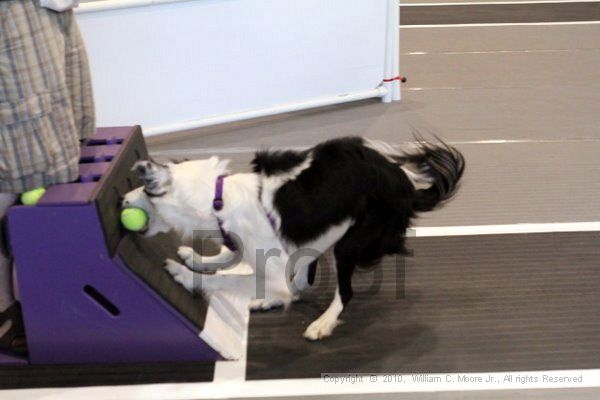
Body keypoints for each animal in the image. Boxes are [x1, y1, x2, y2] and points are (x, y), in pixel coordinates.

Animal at [124, 136, 466, 340]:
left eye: (144, 189)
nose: (123, 199)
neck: (218, 198)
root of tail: (405, 183)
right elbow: (230, 255)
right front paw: (197, 258)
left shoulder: (272, 266)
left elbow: (230, 278)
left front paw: (184, 274)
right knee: (302, 281)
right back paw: (270, 301)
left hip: (351, 242)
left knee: (343, 290)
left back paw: (323, 322)